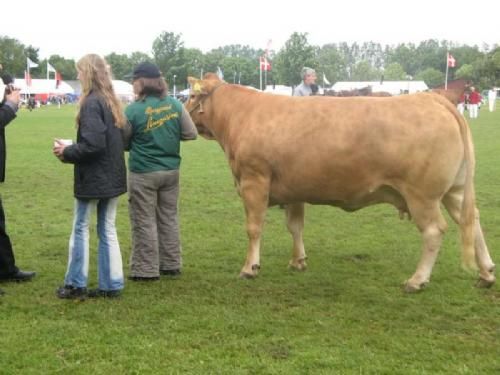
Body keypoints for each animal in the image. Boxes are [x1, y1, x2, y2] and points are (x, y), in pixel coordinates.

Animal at [186, 74, 494, 294]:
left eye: (190, 95)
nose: (186, 117)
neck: (241, 115)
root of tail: (433, 100)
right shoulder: (294, 188)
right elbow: (295, 226)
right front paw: (298, 261)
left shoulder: (254, 180)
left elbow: (253, 228)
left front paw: (250, 267)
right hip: (454, 190)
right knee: (472, 221)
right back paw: (486, 273)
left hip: (423, 195)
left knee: (434, 231)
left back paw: (417, 280)